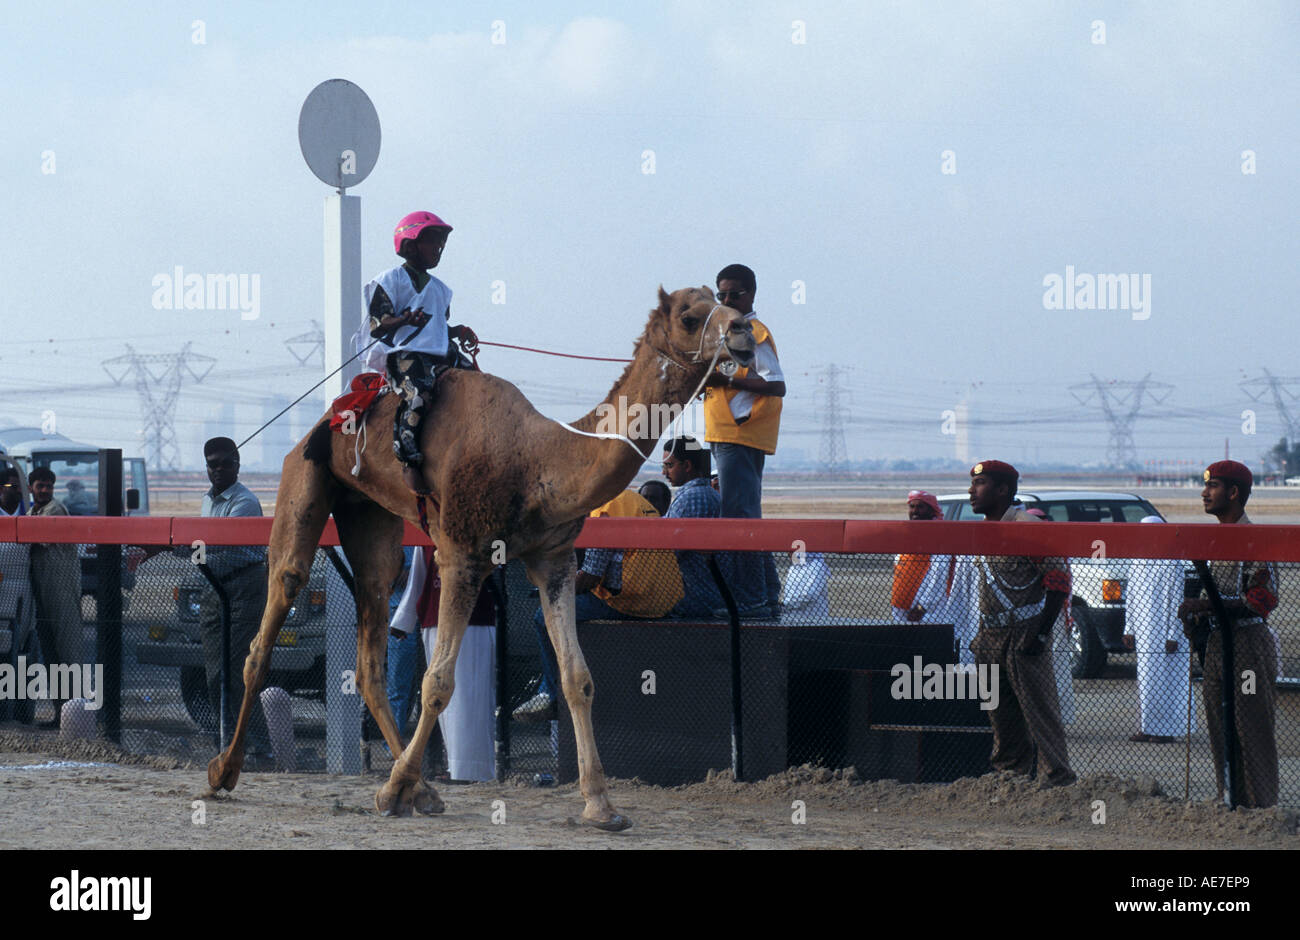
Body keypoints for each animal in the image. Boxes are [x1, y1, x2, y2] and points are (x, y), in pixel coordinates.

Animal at [202, 284, 754, 832]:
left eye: (719, 300)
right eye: (689, 317)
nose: (745, 330)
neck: (538, 458)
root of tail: (329, 417)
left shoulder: (554, 559)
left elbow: (578, 679)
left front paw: (602, 805)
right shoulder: (462, 554)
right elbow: (437, 682)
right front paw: (388, 792)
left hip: (368, 513)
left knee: (370, 645)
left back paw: (421, 789)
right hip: (305, 477)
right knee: (275, 609)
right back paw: (224, 771)